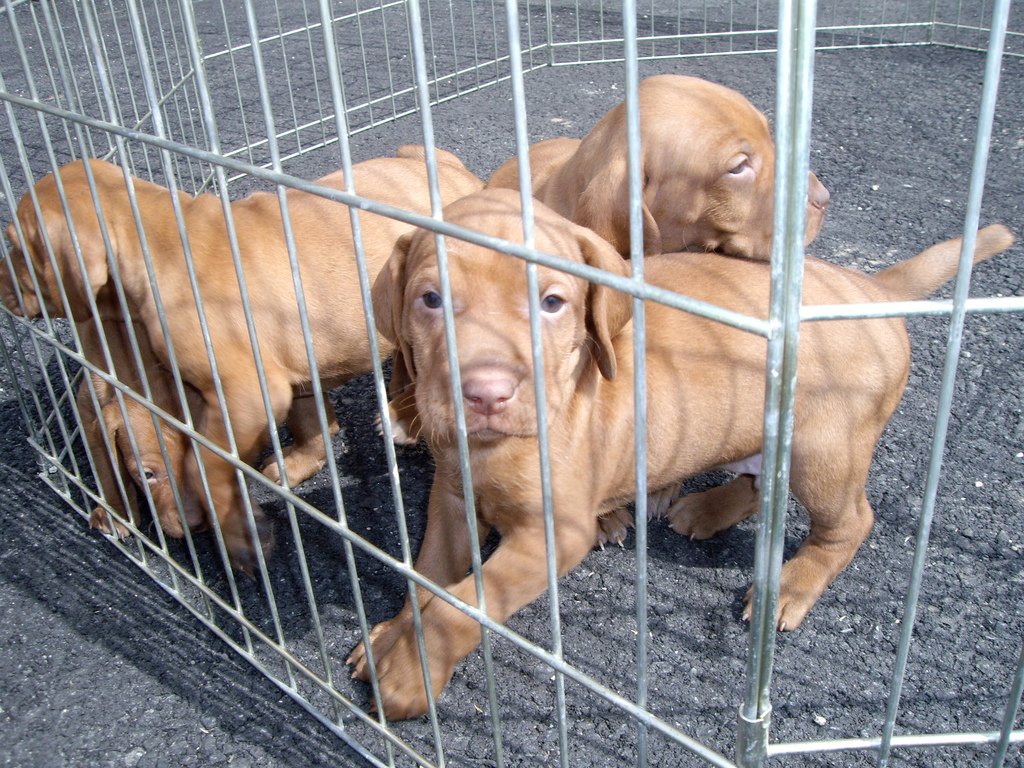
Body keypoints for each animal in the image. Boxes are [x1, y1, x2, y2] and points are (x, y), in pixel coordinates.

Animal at [348, 188, 1011, 720]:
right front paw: (390, 638)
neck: (492, 451)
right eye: (430, 299)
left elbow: (464, 604)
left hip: (824, 449)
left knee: (850, 522)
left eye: (553, 303)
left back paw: (791, 585)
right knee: (757, 485)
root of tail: (868, 288)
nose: (486, 393)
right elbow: (427, 577)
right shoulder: (451, 499)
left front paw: (409, 676)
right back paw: (703, 508)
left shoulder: (550, 536)